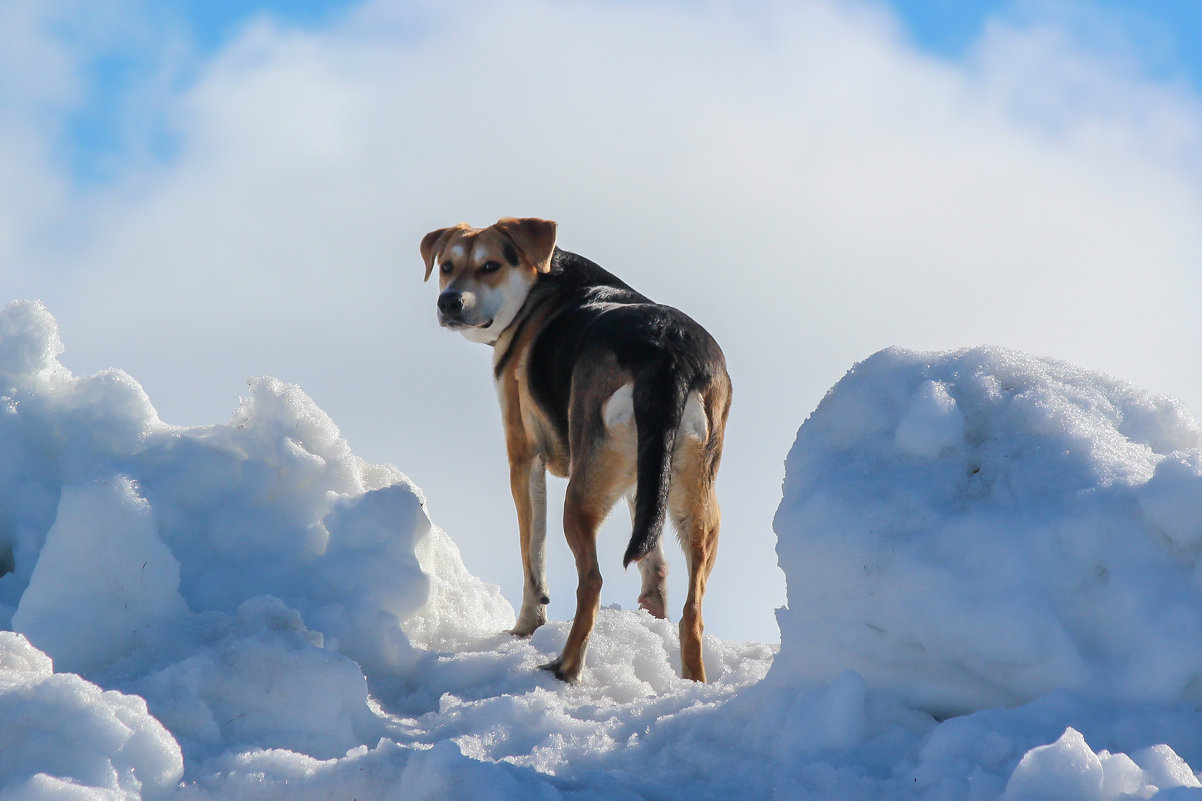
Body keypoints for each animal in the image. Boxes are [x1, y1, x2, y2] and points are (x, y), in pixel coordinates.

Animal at [418, 216, 726, 678]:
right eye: (447, 266)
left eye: (490, 266)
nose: (449, 301)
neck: (540, 287)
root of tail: (667, 354)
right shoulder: (645, 476)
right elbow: (652, 558)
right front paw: (651, 612)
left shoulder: (523, 456)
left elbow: (533, 556)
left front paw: (525, 627)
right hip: (696, 495)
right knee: (693, 609)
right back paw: (693, 680)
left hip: (582, 492)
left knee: (592, 581)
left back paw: (565, 667)